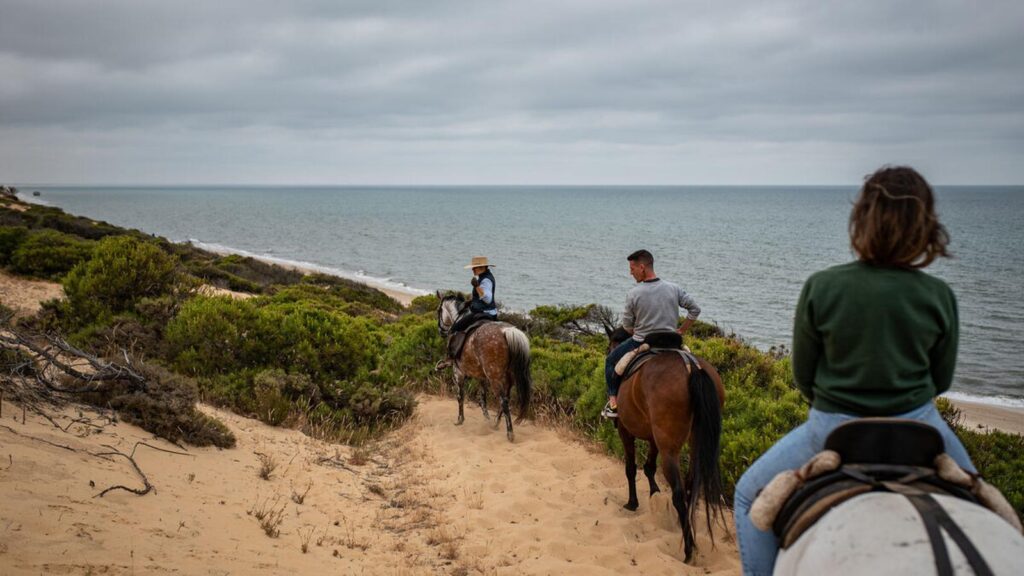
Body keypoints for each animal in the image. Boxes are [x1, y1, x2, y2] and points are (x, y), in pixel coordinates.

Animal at [436, 293, 532, 436]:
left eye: (438, 311)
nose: (441, 331)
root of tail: (507, 331)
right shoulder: (481, 376)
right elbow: (482, 398)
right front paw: (486, 418)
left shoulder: (458, 372)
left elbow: (460, 396)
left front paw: (460, 420)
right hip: (508, 376)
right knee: (506, 398)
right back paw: (496, 422)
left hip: (495, 378)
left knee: (503, 401)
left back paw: (509, 433)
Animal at [606, 327, 729, 561]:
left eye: (610, 347)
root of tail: (692, 368)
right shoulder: (655, 438)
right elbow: (648, 467)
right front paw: (654, 494)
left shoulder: (626, 431)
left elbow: (631, 468)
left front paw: (633, 502)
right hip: (694, 441)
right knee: (690, 484)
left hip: (669, 448)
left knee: (679, 492)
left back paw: (688, 550)